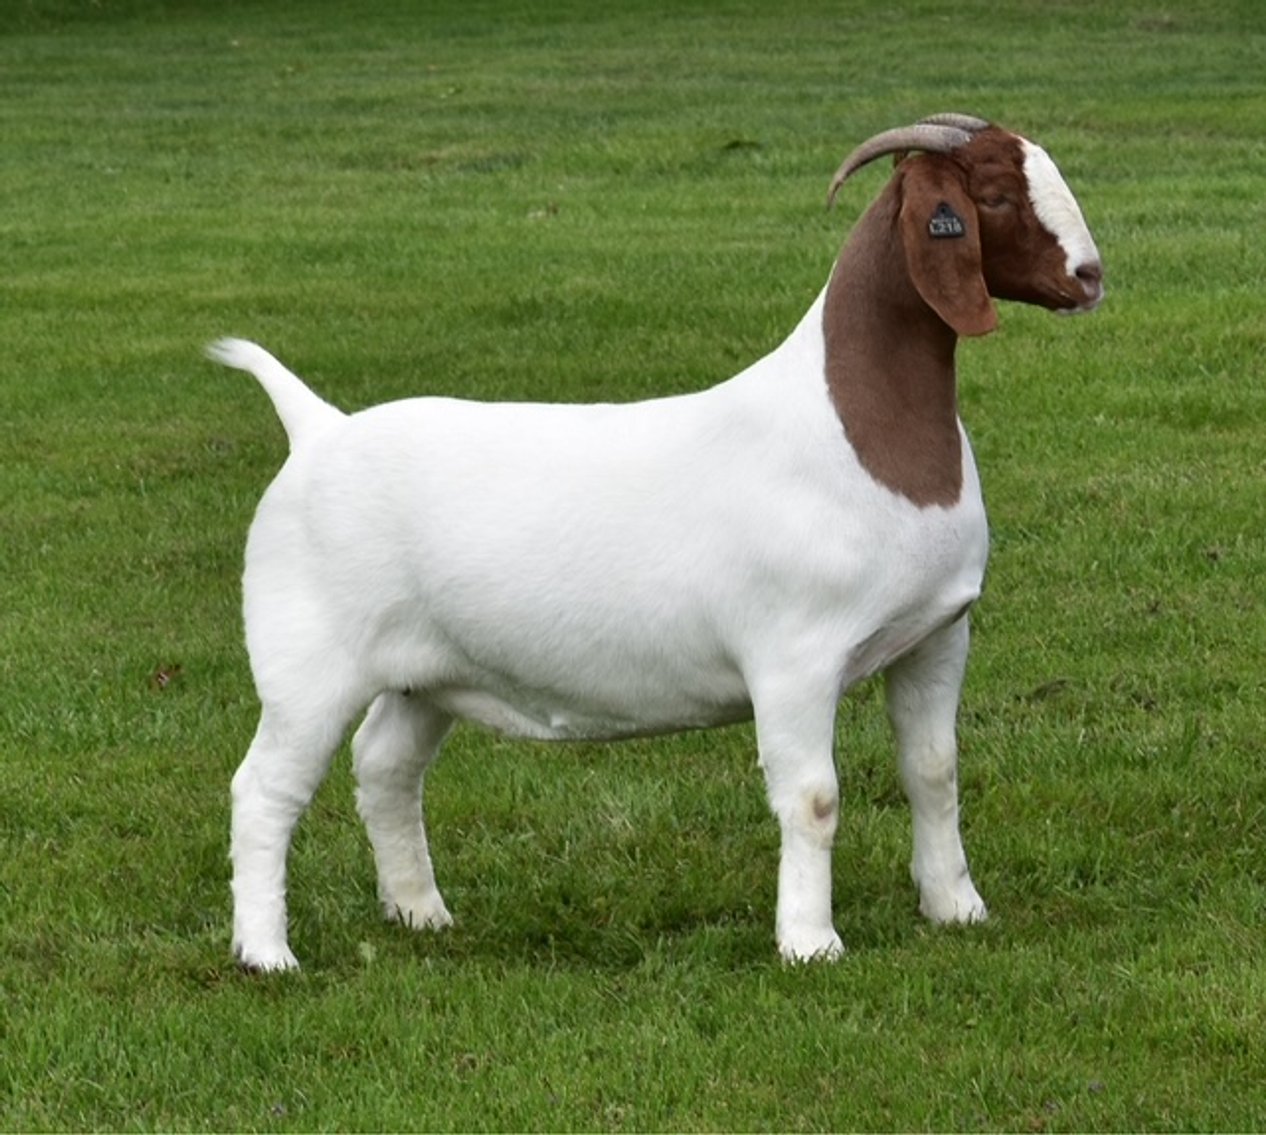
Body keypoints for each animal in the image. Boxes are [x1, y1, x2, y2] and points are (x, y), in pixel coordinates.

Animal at [208, 114, 1103, 971]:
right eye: (993, 195)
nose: (1091, 275)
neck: (855, 427)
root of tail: (316, 427)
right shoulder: (794, 660)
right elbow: (813, 799)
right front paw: (810, 943)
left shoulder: (936, 637)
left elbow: (934, 771)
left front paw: (957, 908)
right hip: (308, 664)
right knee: (264, 789)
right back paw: (267, 953)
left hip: (426, 673)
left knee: (386, 767)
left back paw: (420, 912)